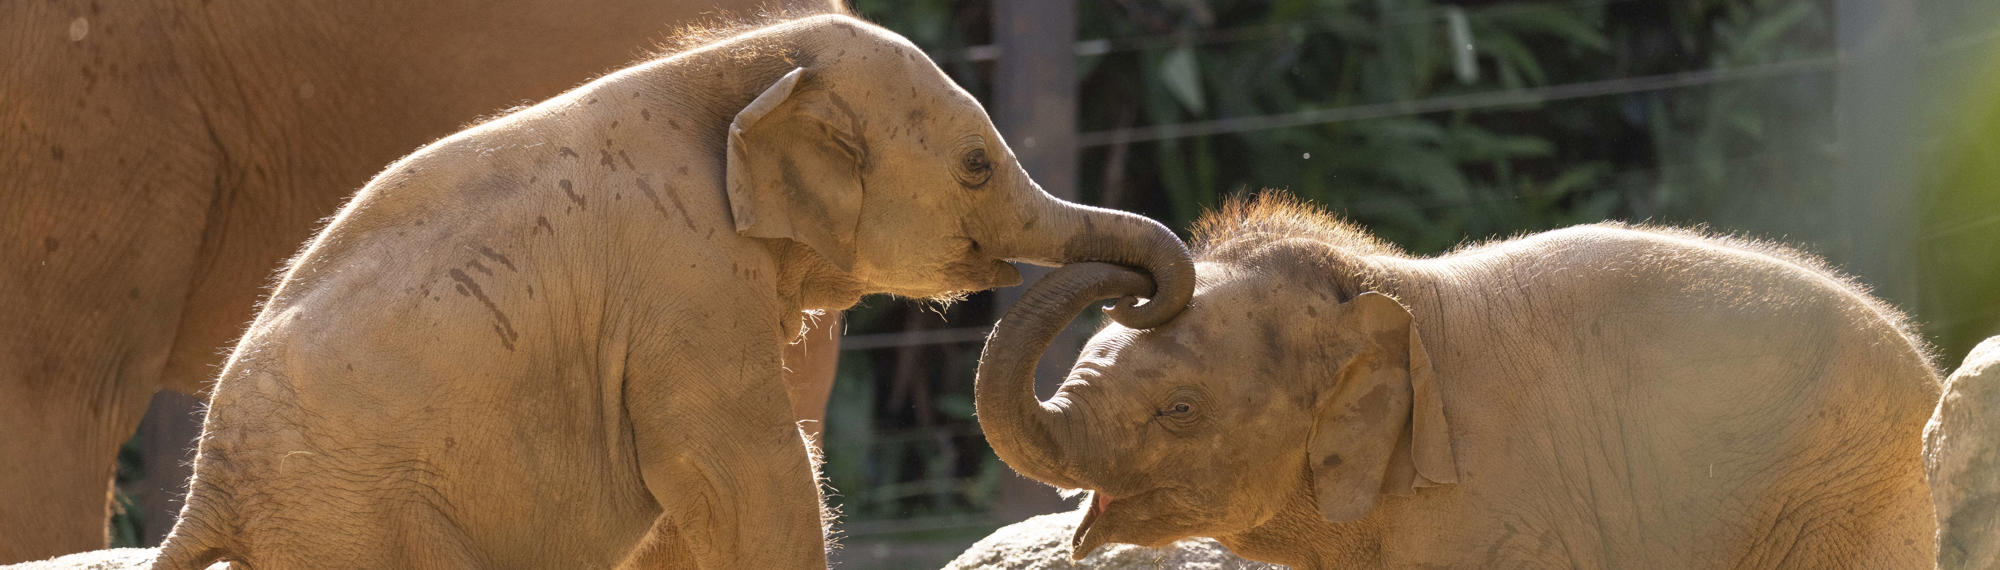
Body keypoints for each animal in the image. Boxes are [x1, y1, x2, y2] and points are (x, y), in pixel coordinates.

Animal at [156, 13, 1192, 568]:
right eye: (978, 165)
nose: (1140, 299)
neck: (746, 65)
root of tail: (208, 487)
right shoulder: (686, 286)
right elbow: (749, 480)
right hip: (357, 516)